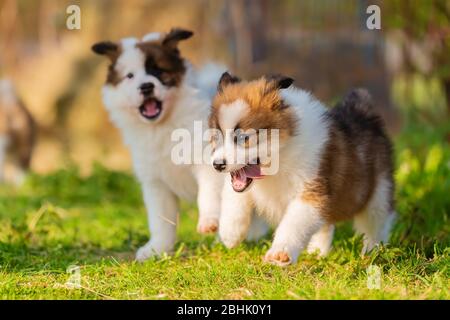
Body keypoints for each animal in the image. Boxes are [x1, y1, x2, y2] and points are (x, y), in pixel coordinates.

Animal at [92, 28, 268, 262]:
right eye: (130, 76)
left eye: (158, 71)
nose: (146, 86)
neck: (162, 126)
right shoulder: (156, 183)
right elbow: (161, 221)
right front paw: (156, 249)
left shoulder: (207, 163)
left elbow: (208, 194)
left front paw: (209, 222)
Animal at [209, 74, 396, 266]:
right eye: (217, 137)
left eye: (243, 138)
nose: (217, 165)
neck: (281, 155)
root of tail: (363, 113)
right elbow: (233, 196)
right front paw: (230, 232)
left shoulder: (311, 192)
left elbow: (293, 223)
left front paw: (280, 253)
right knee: (326, 225)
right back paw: (318, 253)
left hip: (378, 191)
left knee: (377, 222)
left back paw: (373, 252)